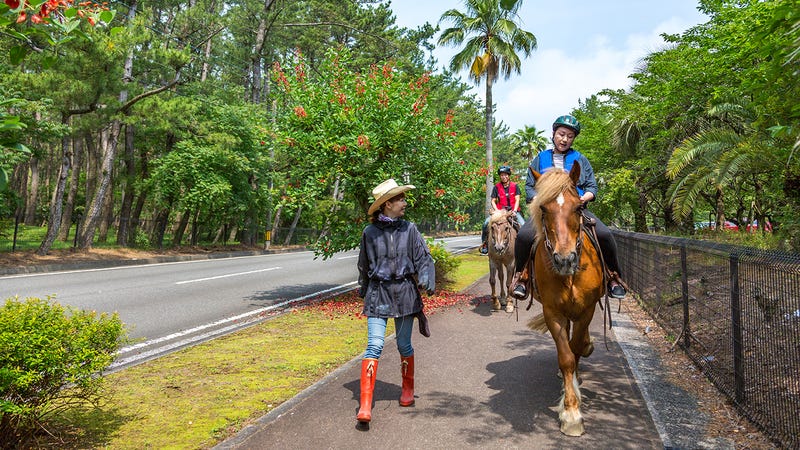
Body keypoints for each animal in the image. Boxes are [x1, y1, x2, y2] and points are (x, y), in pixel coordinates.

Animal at [525, 164, 605, 436]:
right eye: (543, 209)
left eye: (579, 207)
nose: (564, 260)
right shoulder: (553, 312)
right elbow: (566, 356)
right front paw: (571, 413)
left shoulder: (587, 309)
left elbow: (577, 346)